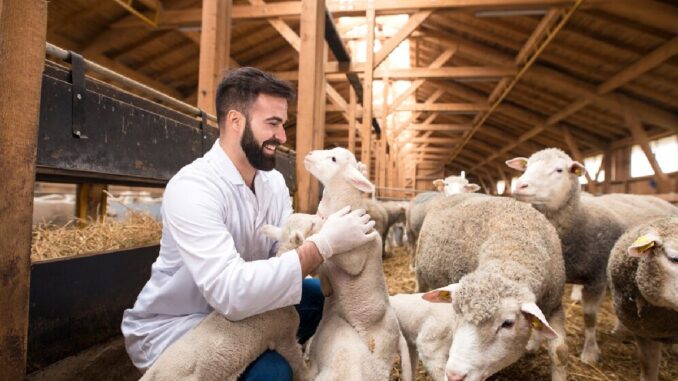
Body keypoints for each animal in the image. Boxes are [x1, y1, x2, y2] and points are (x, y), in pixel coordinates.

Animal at [306, 147, 412, 380]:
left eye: (333, 159)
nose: (308, 155)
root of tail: (398, 333)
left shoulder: (355, 259)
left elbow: (328, 241)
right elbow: (323, 263)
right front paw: (326, 285)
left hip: (379, 351)